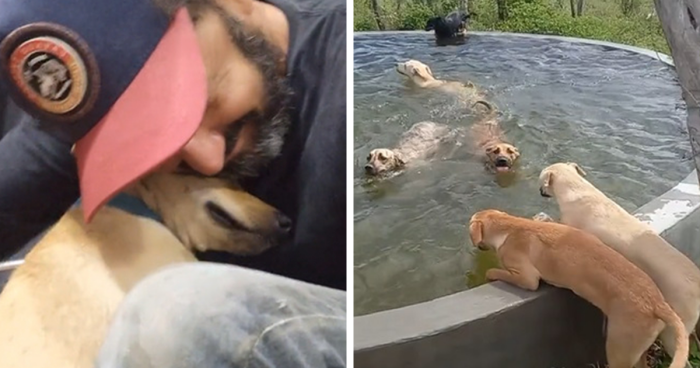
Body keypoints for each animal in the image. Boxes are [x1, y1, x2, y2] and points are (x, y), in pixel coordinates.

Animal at [470, 210, 688, 368]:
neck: (510, 226)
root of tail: (658, 303)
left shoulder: (526, 277)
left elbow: (502, 272)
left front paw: (491, 273)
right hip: (637, 349)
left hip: (618, 348)